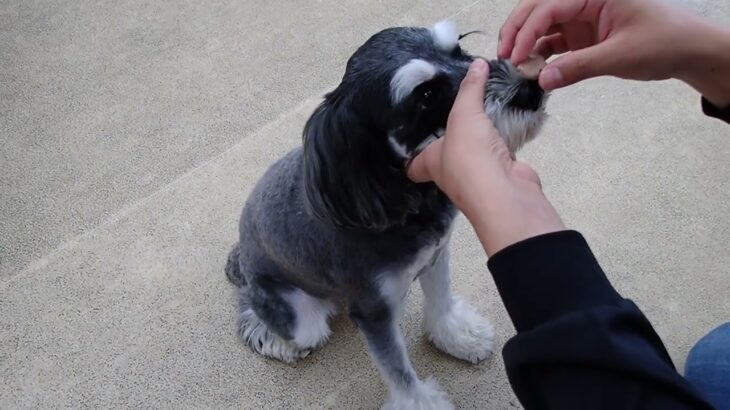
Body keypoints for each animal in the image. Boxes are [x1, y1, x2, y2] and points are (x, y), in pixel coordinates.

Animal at [225, 20, 544, 410]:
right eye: (425, 95)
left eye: (459, 49)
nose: (530, 89)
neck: (401, 199)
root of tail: (243, 255)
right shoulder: (374, 311)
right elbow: (398, 370)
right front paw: (422, 401)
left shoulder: (435, 256)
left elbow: (441, 303)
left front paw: (458, 336)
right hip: (299, 316)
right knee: (260, 313)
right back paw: (274, 339)